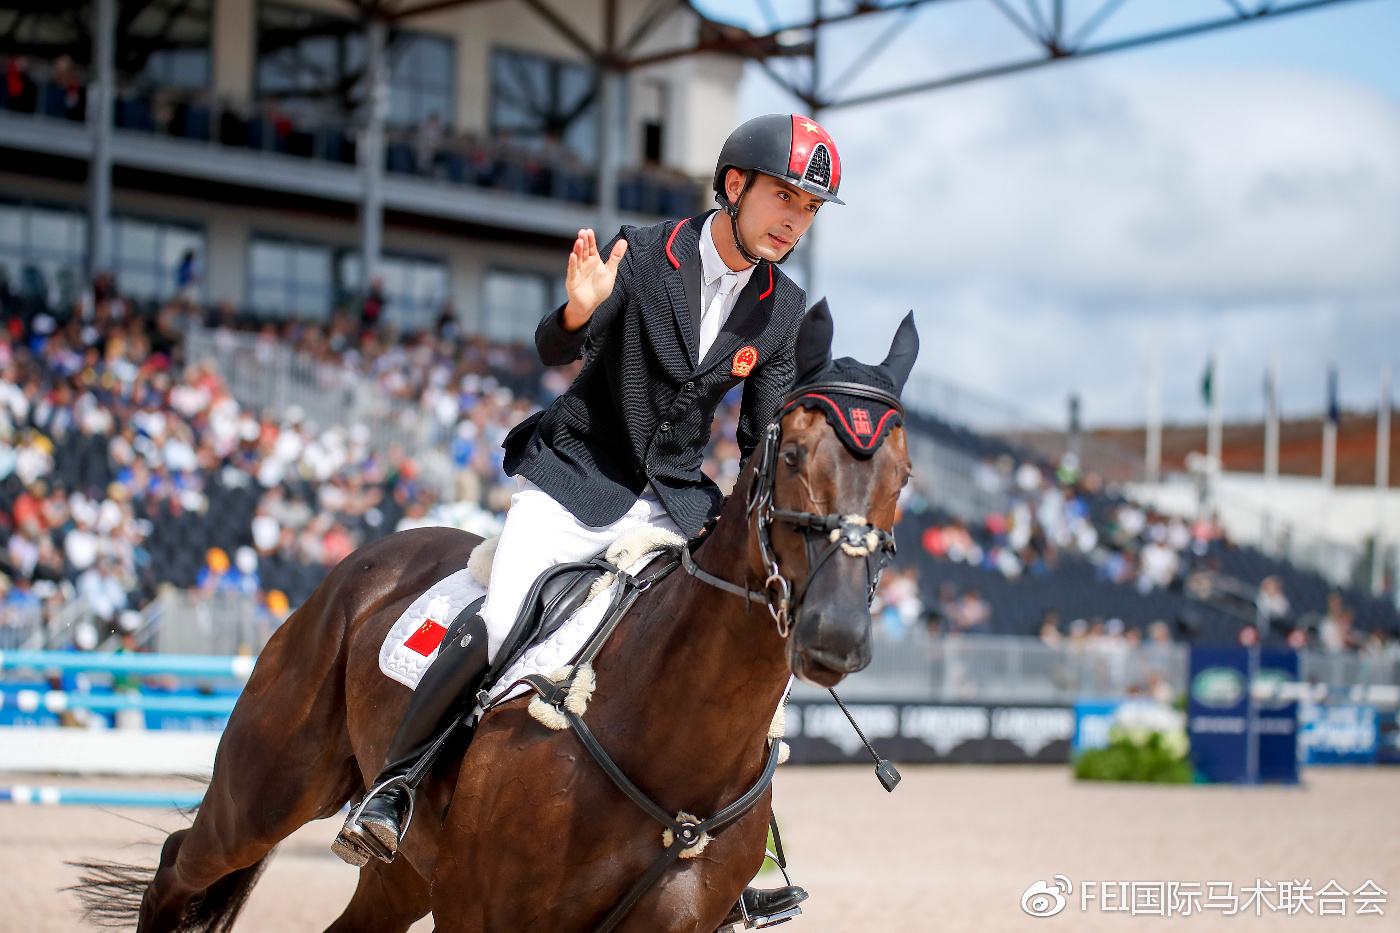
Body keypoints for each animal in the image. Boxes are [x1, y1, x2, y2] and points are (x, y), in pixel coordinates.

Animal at [81, 301, 924, 924]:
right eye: (793, 456)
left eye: (904, 476)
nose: (836, 633)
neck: (672, 740)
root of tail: (364, 563)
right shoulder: (485, 912)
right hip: (266, 792)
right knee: (179, 864)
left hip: (407, 870)